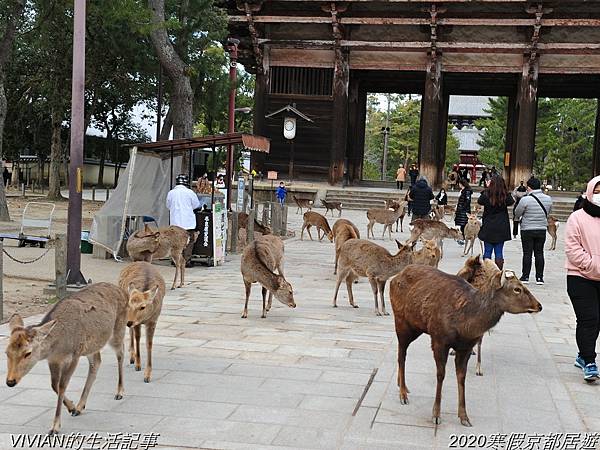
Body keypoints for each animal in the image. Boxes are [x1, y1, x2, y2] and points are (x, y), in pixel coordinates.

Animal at [4, 284, 129, 434]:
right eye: (6, 352)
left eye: (27, 353)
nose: (10, 381)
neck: (58, 347)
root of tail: (123, 291)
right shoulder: (53, 360)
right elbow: (54, 384)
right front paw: (72, 407)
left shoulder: (74, 355)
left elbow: (62, 385)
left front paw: (55, 427)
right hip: (90, 346)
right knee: (97, 361)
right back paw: (80, 406)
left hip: (118, 329)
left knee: (120, 352)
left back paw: (119, 392)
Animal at [392, 266, 540, 428]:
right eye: (517, 289)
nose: (539, 305)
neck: (465, 325)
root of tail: (395, 277)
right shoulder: (439, 339)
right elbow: (440, 375)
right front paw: (436, 415)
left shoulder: (467, 347)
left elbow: (461, 377)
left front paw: (464, 417)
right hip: (401, 321)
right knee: (401, 355)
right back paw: (402, 394)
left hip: (416, 328)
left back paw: (403, 386)